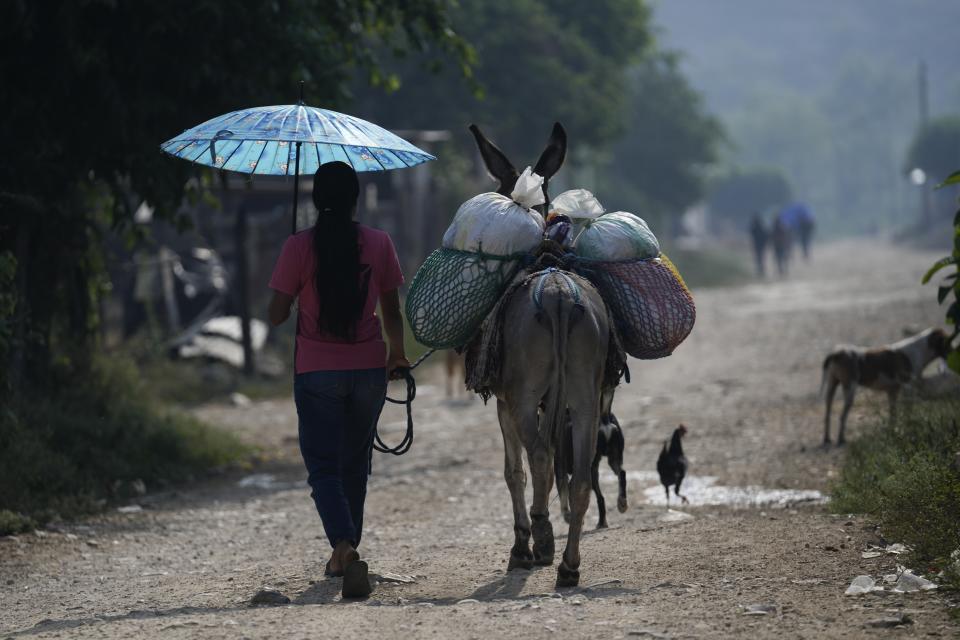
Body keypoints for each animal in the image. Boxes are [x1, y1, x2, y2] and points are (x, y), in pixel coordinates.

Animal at [816, 324, 952, 444]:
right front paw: (908, 425)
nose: (954, 351)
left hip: (832, 387)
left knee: (827, 414)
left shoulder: (892, 391)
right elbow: (908, 411)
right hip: (849, 390)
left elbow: (893, 415)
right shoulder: (908, 388)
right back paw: (841, 439)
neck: (920, 350)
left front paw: (894, 431)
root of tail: (836, 353)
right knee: (842, 416)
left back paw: (827, 438)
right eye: (948, 342)